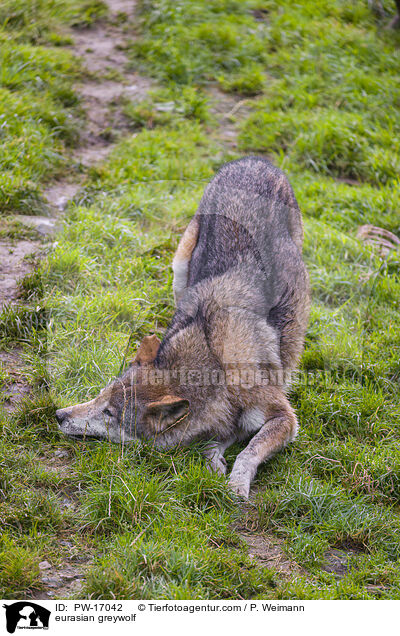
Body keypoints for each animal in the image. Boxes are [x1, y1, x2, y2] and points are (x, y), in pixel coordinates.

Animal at [55, 158, 310, 496]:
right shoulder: (224, 418)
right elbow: (216, 440)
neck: (214, 369)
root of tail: (253, 161)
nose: (58, 415)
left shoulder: (284, 417)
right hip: (179, 266)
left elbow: (249, 449)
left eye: (109, 413)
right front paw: (214, 463)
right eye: (99, 396)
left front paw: (236, 485)